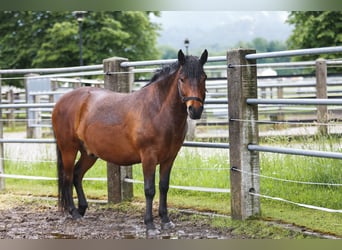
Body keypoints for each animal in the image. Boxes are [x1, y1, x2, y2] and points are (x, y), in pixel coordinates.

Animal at [51, 49, 208, 233]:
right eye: (182, 78)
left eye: (204, 77)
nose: (195, 110)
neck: (157, 110)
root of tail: (61, 101)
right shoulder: (148, 157)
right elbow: (149, 190)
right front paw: (150, 224)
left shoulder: (169, 158)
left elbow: (164, 186)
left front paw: (165, 220)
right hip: (68, 149)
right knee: (67, 177)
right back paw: (74, 212)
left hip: (89, 153)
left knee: (77, 175)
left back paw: (82, 208)